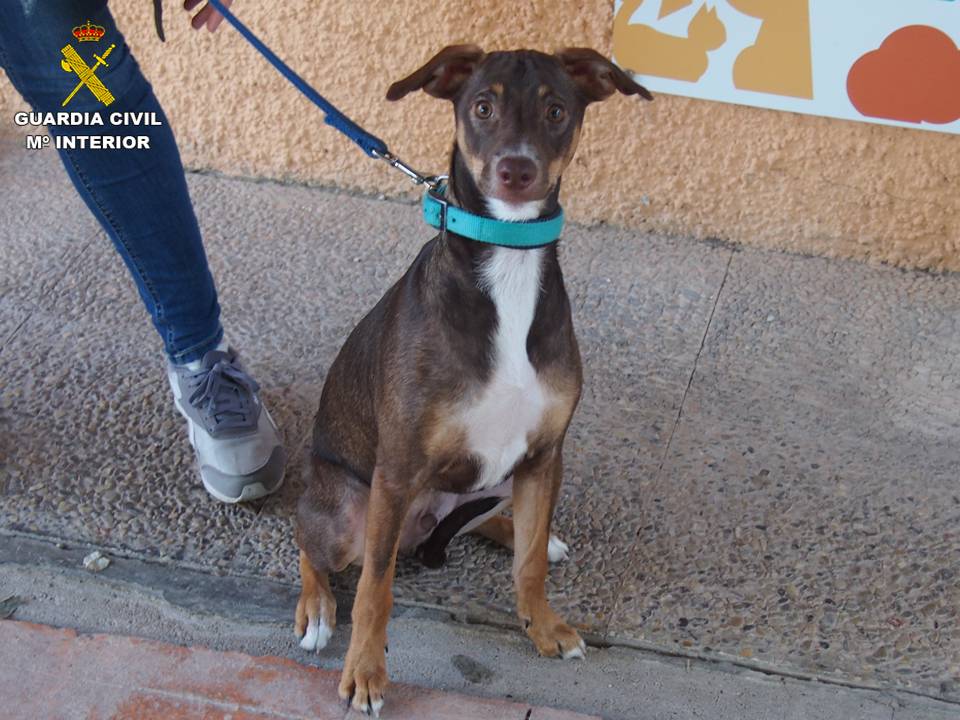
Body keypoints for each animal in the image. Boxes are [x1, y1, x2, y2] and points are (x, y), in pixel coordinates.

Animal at [296, 45, 648, 716]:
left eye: (556, 111)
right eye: (482, 106)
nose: (516, 170)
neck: (506, 259)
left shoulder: (545, 454)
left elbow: (530, 564)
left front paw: (544, 625)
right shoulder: (397, 468)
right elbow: (374, 589)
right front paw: (365, 671)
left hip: (507, 478)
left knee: (498, 523)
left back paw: (526, 534)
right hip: (352, 512)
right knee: (313, 545)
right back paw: (316, 608)